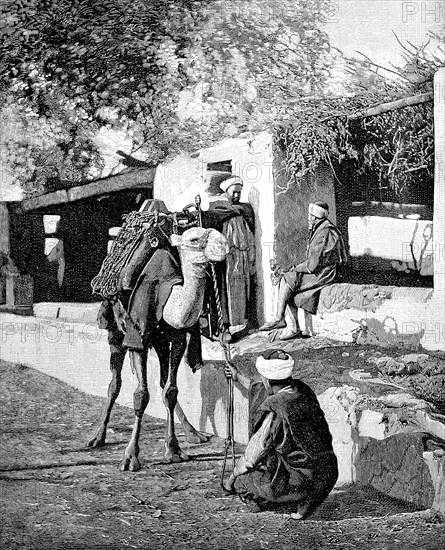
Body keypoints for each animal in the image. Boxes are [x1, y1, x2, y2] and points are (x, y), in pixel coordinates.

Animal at [88, 226, 227, 472]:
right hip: (114, 330)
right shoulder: (138, 337)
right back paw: (98, 437)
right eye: (194, 239)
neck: (170, 295)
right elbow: (141, 395)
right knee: (115, 383)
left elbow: (171, 391)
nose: (224, 245)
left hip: (161, 343)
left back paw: (193, 433)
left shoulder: (178, 339)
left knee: (163, 384)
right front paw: (130, 457)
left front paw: (174, 450)